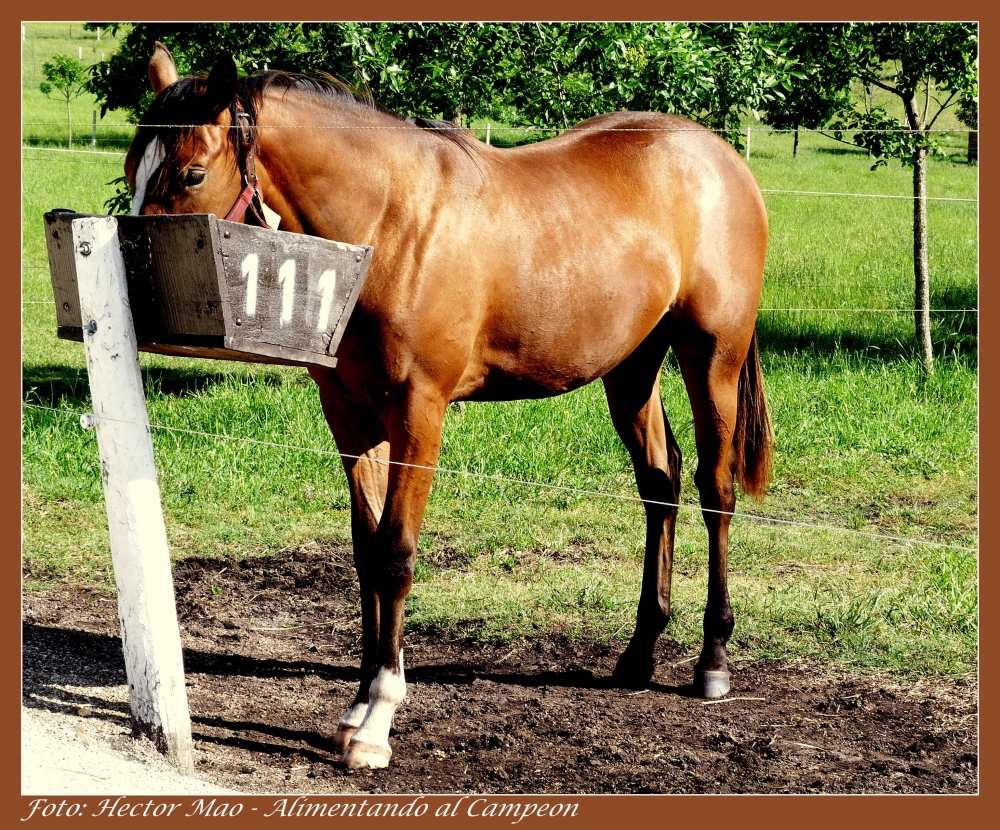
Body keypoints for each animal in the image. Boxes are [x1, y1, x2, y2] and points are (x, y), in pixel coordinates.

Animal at [127, 44, 772, 772]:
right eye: (131, 167)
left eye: (192, 172)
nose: (135, 292)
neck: (388, 227)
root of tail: (718, 156)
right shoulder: (351, 416)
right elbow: (365, 553)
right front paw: (355, 708)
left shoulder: (420, 414)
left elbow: (395, 554)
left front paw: (378, 719)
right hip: (632, 367)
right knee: (660, 484)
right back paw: (638, 654)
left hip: (712, 357)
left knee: (715, 491)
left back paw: (713, 660)